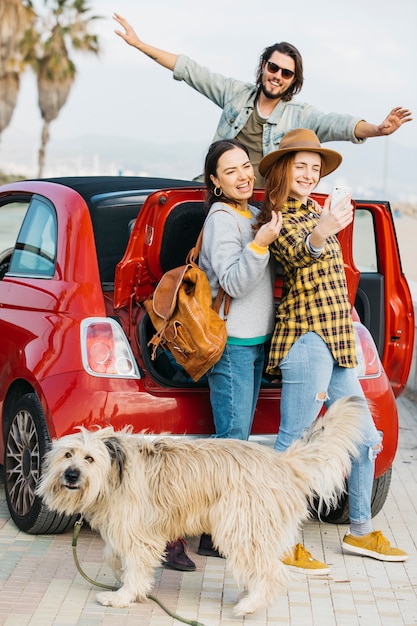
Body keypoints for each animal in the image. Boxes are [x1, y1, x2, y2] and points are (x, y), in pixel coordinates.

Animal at [37, 394, 366, 616]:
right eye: (67, 455)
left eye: (90, 459)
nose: (71, 475)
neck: (113, 474)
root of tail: (280, 461)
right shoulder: (126, 529)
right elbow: (112, 556)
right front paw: (122, 581)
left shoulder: (138, 533)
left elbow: (134, 564)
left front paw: (123, 595)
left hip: (241, 526)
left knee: (270, 571)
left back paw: (250, 604)